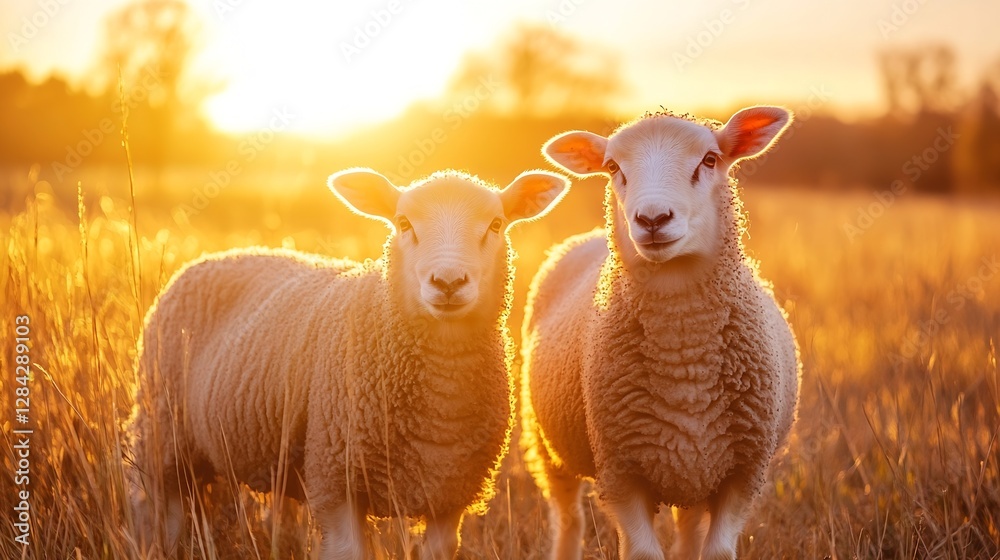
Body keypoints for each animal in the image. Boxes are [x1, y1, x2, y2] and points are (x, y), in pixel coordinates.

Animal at [128, 168, 569, 559]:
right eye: (403, 223)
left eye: (496, 224)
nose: (447, 282)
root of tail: (214, 256)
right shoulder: (335, 479)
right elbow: (348, 551)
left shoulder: (450, 493)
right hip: (161, 431)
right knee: (161, 509)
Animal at [520, 106, 801, 560]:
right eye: (613, 167)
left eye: (710, 160)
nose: (652, 219)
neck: (684, 355)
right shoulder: (619, 471)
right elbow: (643, 553)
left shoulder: (743, 473)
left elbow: (717, 552)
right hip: (546, 443)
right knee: (568, 518)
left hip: (694, 465)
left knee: (687, 531)